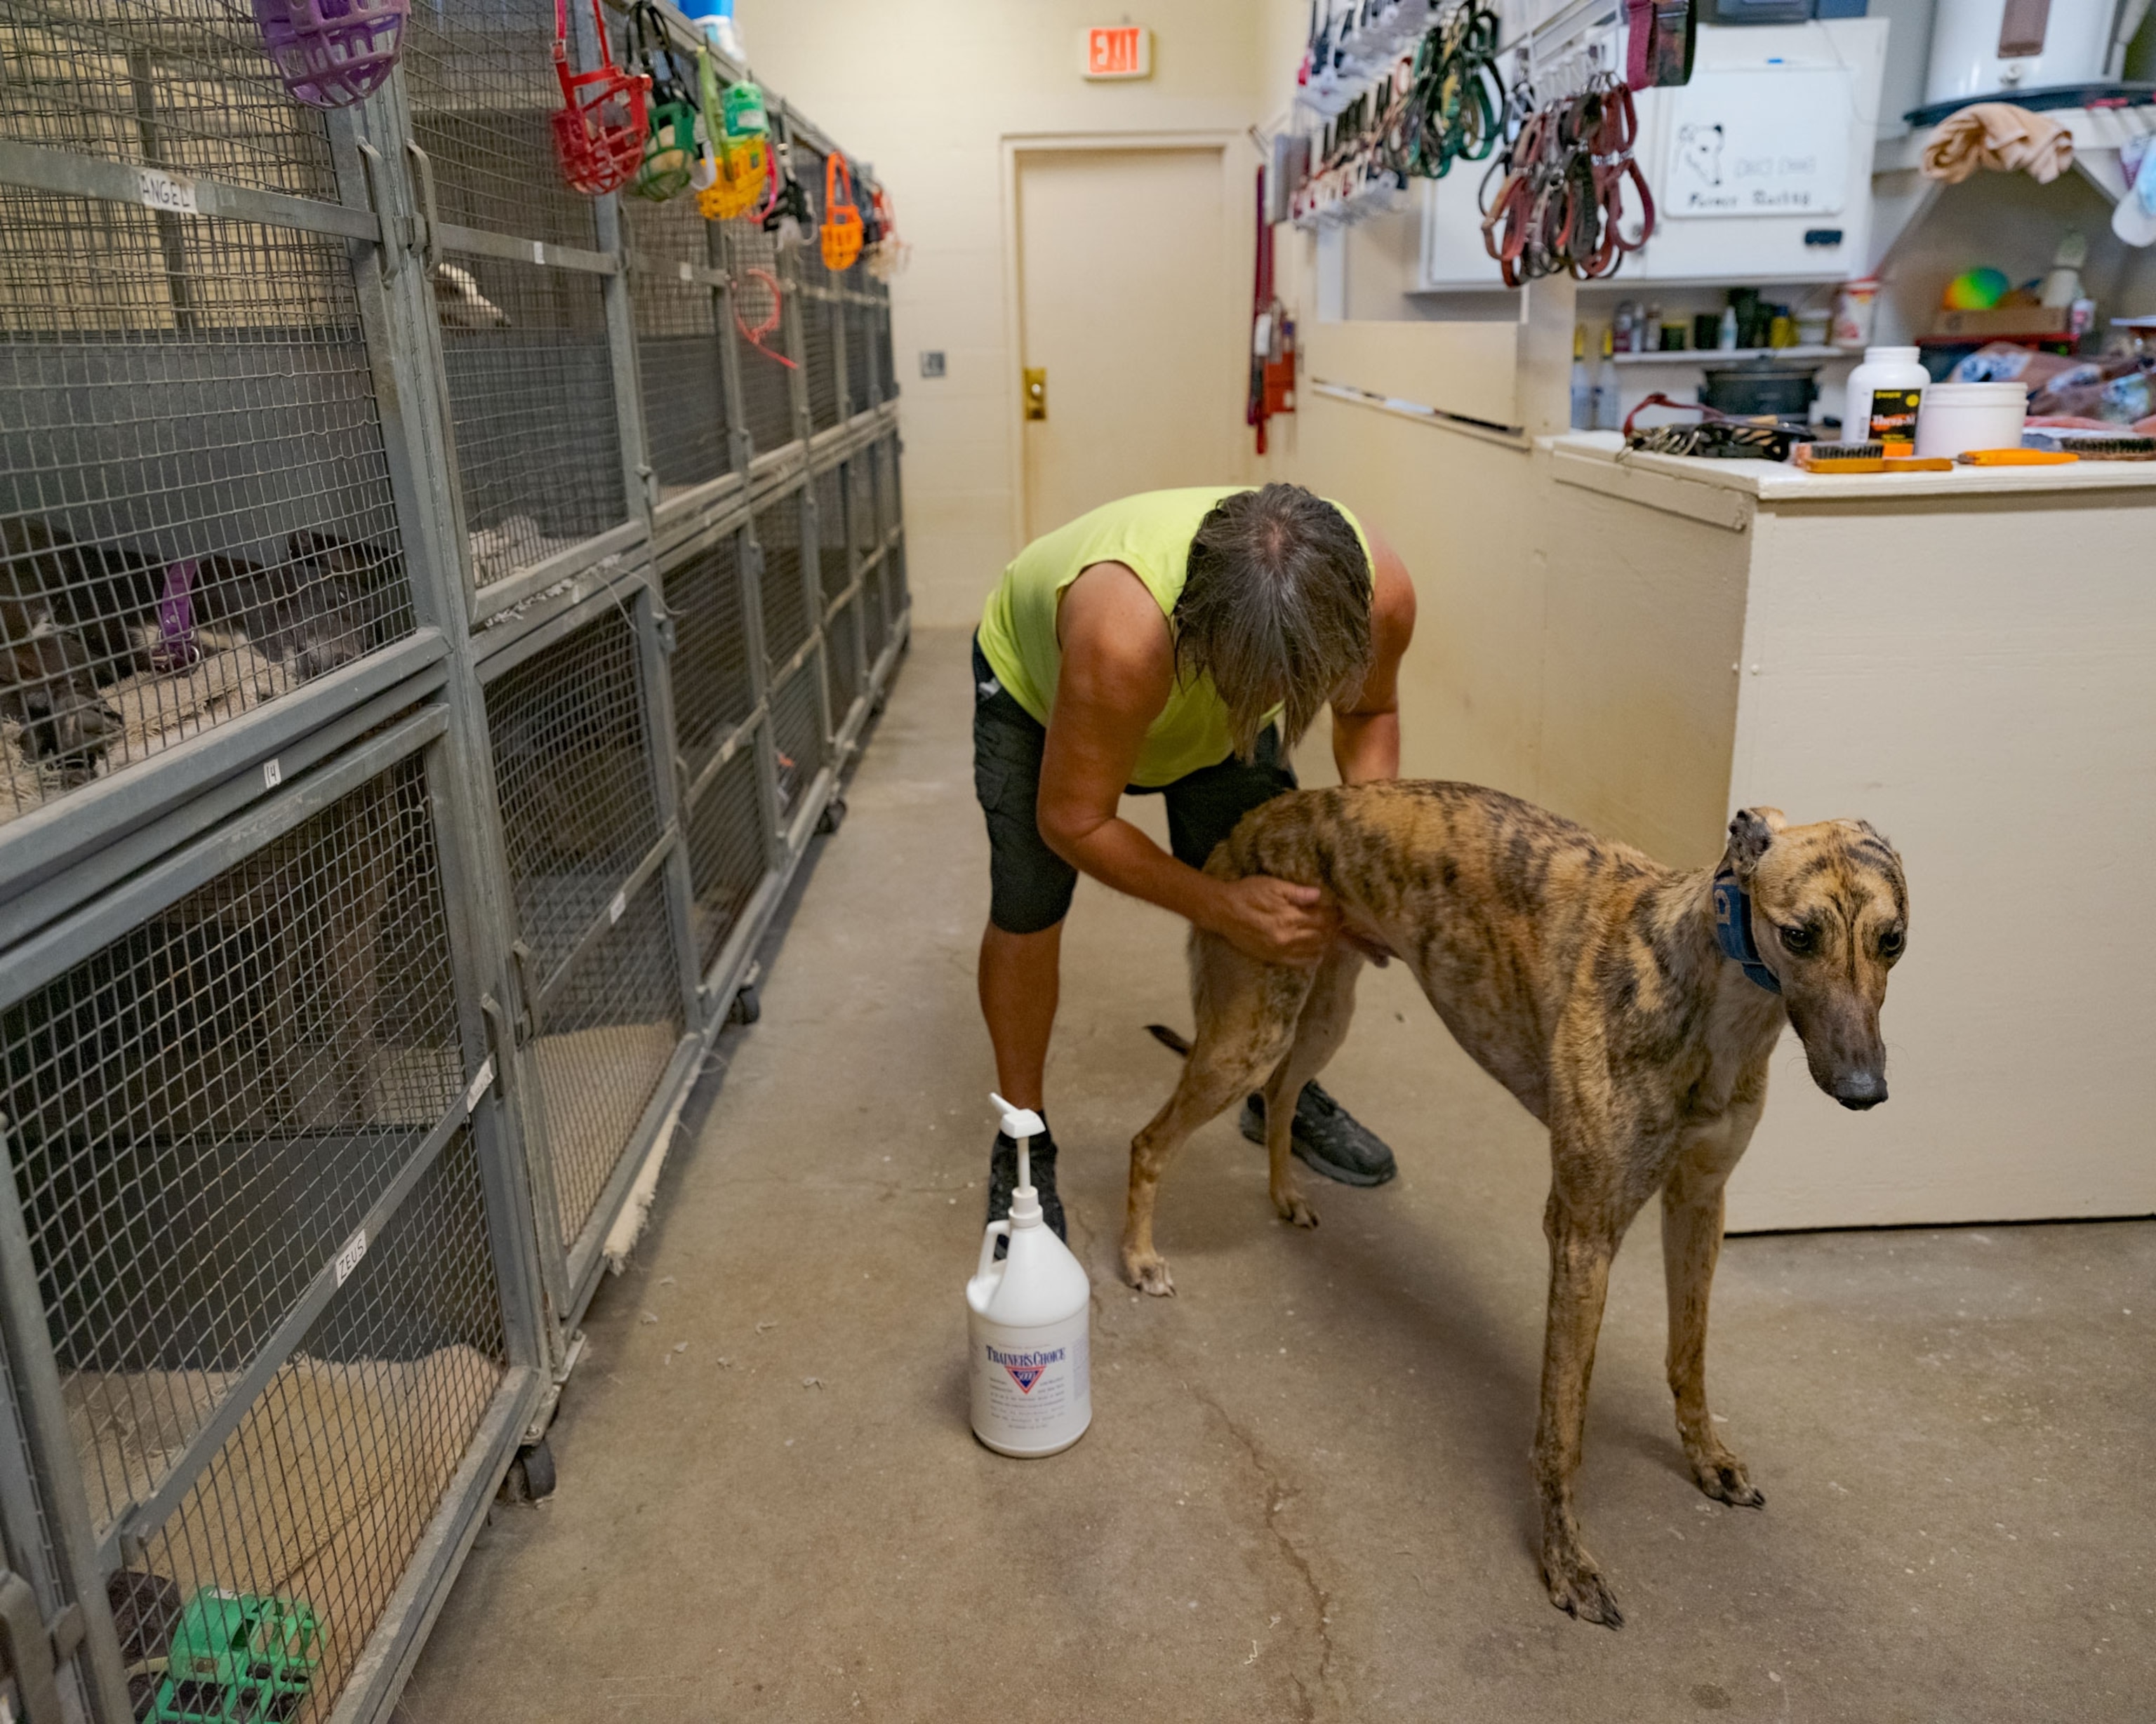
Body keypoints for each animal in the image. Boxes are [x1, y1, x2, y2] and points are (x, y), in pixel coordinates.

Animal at [0, 3, 2147, 1724]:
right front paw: (1567, 1560)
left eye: (1894, 940)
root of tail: (1271, 837)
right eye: (1791, 927)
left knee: (1270, 1102)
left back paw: (1285, 1182)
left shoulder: (1691, 1210)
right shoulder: (1581, 1225)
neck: (1705, 996)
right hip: (1234, 985)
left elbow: (1694, 1369)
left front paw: (1698, 1463)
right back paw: (1121, 1240)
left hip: (1321, 993)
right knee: (1128, 1117)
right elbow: (1550, 1422)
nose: (1865, 1096)